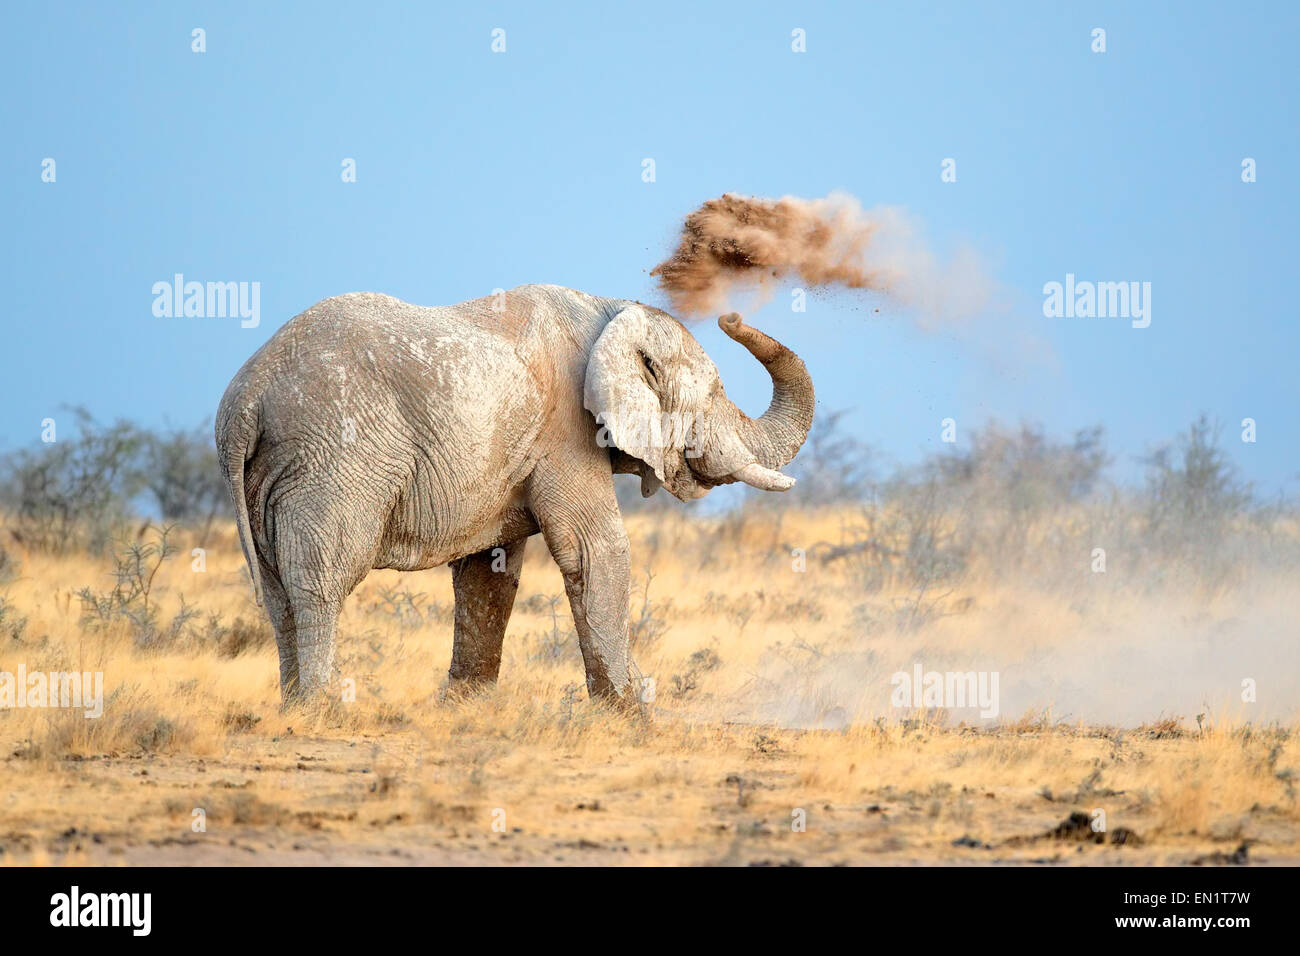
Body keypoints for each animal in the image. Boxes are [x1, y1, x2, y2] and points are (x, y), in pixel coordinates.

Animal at [215, 284, 815, 706]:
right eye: (713, 393)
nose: (729, 316)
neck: (610, 309)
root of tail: (245, 399)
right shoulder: (566, 431)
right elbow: (597, 551)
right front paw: (636, 713)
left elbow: (488, 574)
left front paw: (465, 709)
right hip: (335, 459)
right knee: (322, 578)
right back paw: (324, 710)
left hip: (271, 473)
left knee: (277, 591)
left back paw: (294, 708)